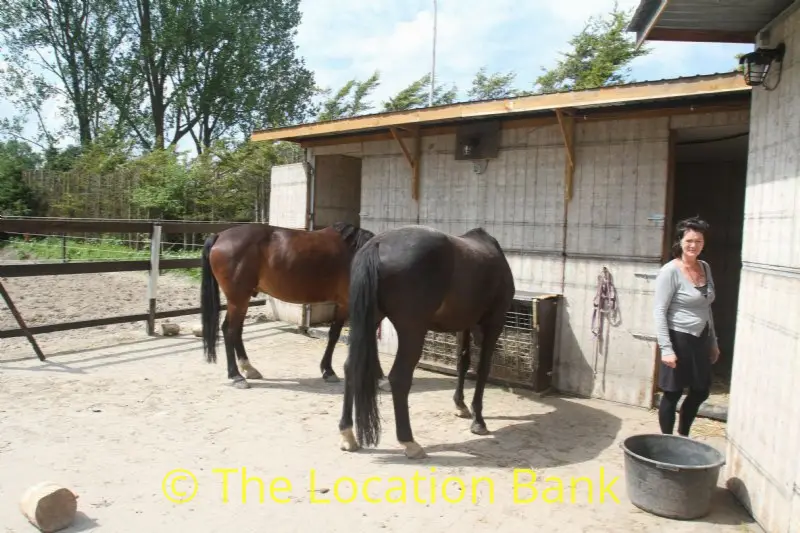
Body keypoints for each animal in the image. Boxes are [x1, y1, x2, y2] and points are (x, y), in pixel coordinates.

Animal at [200, 221, 375, 389]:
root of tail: (219, 236)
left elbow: (334, 334)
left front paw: (328, 370)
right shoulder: (347, 303)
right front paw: (331, 371)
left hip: (242, 300)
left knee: (235, 330)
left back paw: (248, 369)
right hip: (238, 299)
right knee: (229, 330)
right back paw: (236, 376)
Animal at [337, 224, 515, 459]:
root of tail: (378, 244)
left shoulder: (464, 324)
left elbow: (462, 362)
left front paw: (461, 405)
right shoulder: (494, 322)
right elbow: (483, 369)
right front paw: (479, 421)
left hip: (368, 321)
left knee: (351, 368)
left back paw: (348, 434)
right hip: (412, 331)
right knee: (399, 378)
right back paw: (410, 442)